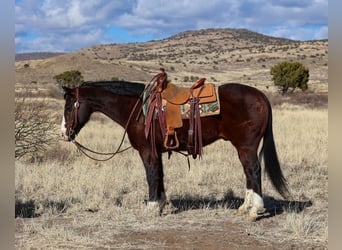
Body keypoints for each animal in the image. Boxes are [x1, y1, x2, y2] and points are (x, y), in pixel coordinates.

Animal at [60, 79, 288, 220]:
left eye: (69, 107)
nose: (63, 133)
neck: (139, 110)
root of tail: (260, 96)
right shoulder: (157, 152)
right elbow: (160, 176)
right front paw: (161, 204)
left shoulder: (147, 151)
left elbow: (151, 176)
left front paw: (152, 207)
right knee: (249, 173)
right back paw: (244, 208)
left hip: (246, 147)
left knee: (253, 171)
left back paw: (255, 210)